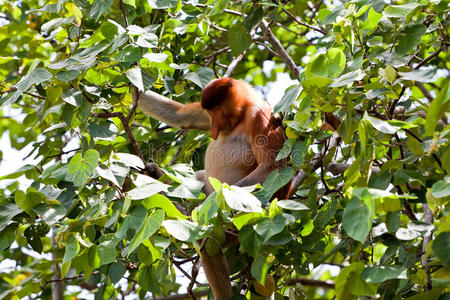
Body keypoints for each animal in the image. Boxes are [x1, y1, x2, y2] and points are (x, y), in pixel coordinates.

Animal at [139, 78, 290, 298]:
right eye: (210, 113)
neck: (241, 115)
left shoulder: (260, 116)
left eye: (218, 109)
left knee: (208, 242)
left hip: (235, 226)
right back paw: (157, 176)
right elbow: (180, 115)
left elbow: (274, 166)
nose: (214, 129)